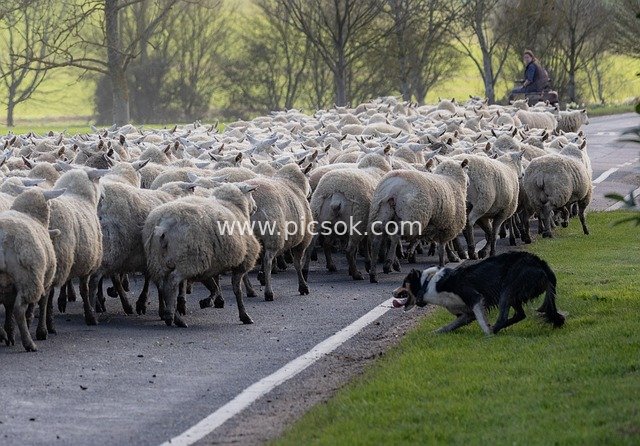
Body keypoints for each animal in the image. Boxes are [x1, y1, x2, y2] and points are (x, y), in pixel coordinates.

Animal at [0, 188, 64, 351]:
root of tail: (2, 237)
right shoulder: (44, 280)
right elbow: (42, 303)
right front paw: (42, 331)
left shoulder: (9, 286)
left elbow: (8, 308)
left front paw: (10, 332)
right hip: (28, 279)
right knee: (19, 310)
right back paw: (28, 342)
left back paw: (3, 334)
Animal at [143, 183, 261, 327]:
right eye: (250, 193)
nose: (255, 207)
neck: (234, 206)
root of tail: (163, 225)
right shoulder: (241, 263)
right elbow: (236, 290)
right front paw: (244, 316)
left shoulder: (207, 267)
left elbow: (215, 287)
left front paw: (209, 301)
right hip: (188, 260)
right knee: (172, 283)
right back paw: (174, 317)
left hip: (160, 261)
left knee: (162, 286)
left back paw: (172, 314)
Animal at [245, 164, 313, 300]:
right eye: (308, 177)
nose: (311, 193)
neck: (294, 183)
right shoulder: (303, 240)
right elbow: (297, 263)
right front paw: (303, 286)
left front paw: (261, 277)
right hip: (274, 236)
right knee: (268, 261)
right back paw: (269, 293)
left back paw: (250, 290)